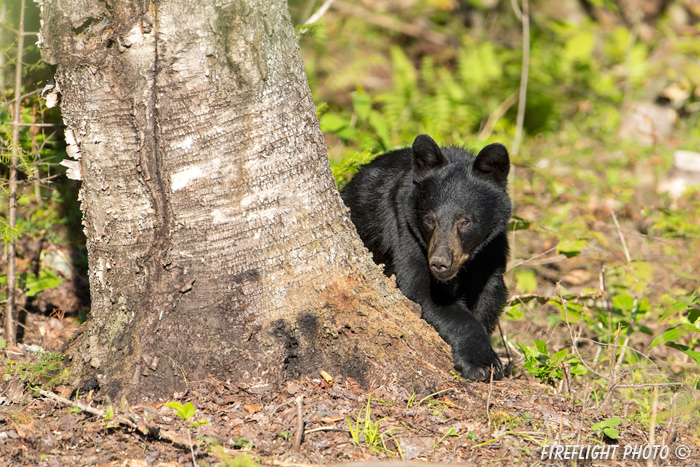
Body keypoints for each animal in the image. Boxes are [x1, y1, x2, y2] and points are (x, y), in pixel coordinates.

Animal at [342, 133, 512, 382]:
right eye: (429, 219)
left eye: (465, 221)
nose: (439, 263)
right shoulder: (404, 227)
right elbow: (420, 287)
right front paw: (482, 363)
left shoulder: (492, 247)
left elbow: (488, 292)